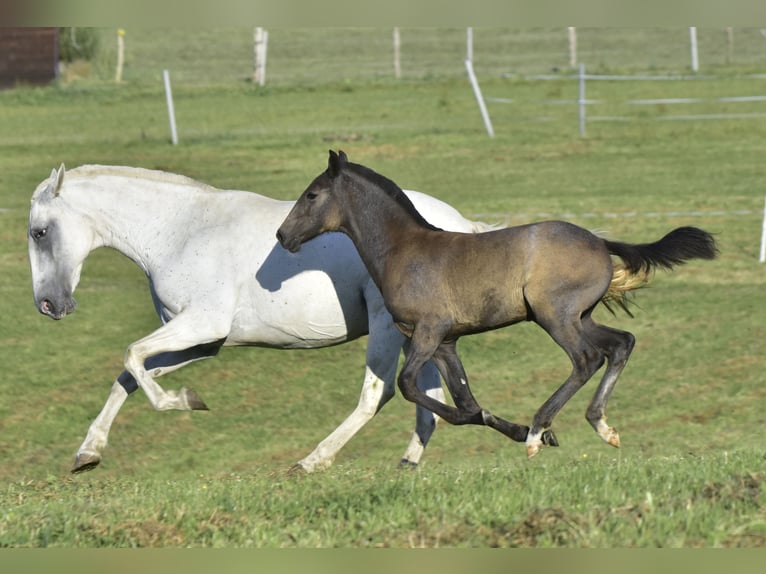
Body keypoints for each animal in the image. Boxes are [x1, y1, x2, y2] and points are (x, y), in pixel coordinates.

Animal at [27, 164, 496, 474]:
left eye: (39, 232)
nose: (48, 305)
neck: (181, 232)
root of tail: (460, 226)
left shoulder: (202, 325)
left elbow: (131, 356)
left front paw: (184, 400)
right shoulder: (202, 343)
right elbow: (129, 375)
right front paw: (88, 453)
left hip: (386, 328)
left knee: (377, 395)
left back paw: (312, 461)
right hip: (418, 334)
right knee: (429, 400)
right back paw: (405, 466)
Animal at [278, 152, 720, 460]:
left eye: (312, 194)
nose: (283, 236)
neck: (402, 251)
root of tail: (599, 241)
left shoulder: (429, 331)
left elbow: (410, 387)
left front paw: (528, 431)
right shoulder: (446, 342)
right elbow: (466, 401)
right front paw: (502, 423)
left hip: (555, 316)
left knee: (587, 358)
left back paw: (538, 430)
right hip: (581, 316)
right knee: (622, 343)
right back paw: (600, 426)